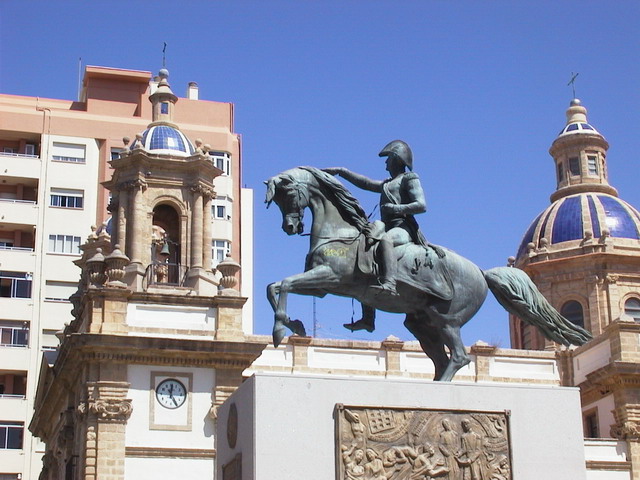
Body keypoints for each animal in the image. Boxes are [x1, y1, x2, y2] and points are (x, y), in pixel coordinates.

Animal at [264, 167, 592, 380]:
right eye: (276, 199)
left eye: (289, 193)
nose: (290, 227)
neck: (342, 231)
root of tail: (482, 272)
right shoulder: (322, 286)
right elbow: (275, 286)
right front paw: (292, 324)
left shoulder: (330, 277)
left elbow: (284, 284)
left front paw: (282, 328)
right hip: (422, 323)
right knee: (441, 358)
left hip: (447, 319)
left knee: (459, 356)